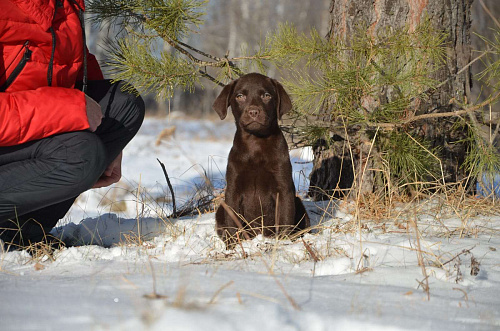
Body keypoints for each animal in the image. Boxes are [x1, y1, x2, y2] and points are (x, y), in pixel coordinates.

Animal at [214, 72, 308, 249]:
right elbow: (233, 221)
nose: (253, 112)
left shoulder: (283, 188)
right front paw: (233, 247)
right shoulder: (233, 189)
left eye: (266, 95)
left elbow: (285, 219)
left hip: (299, 203)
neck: (256, 143)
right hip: (220, 209)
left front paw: (283, 242)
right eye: (240, 96)